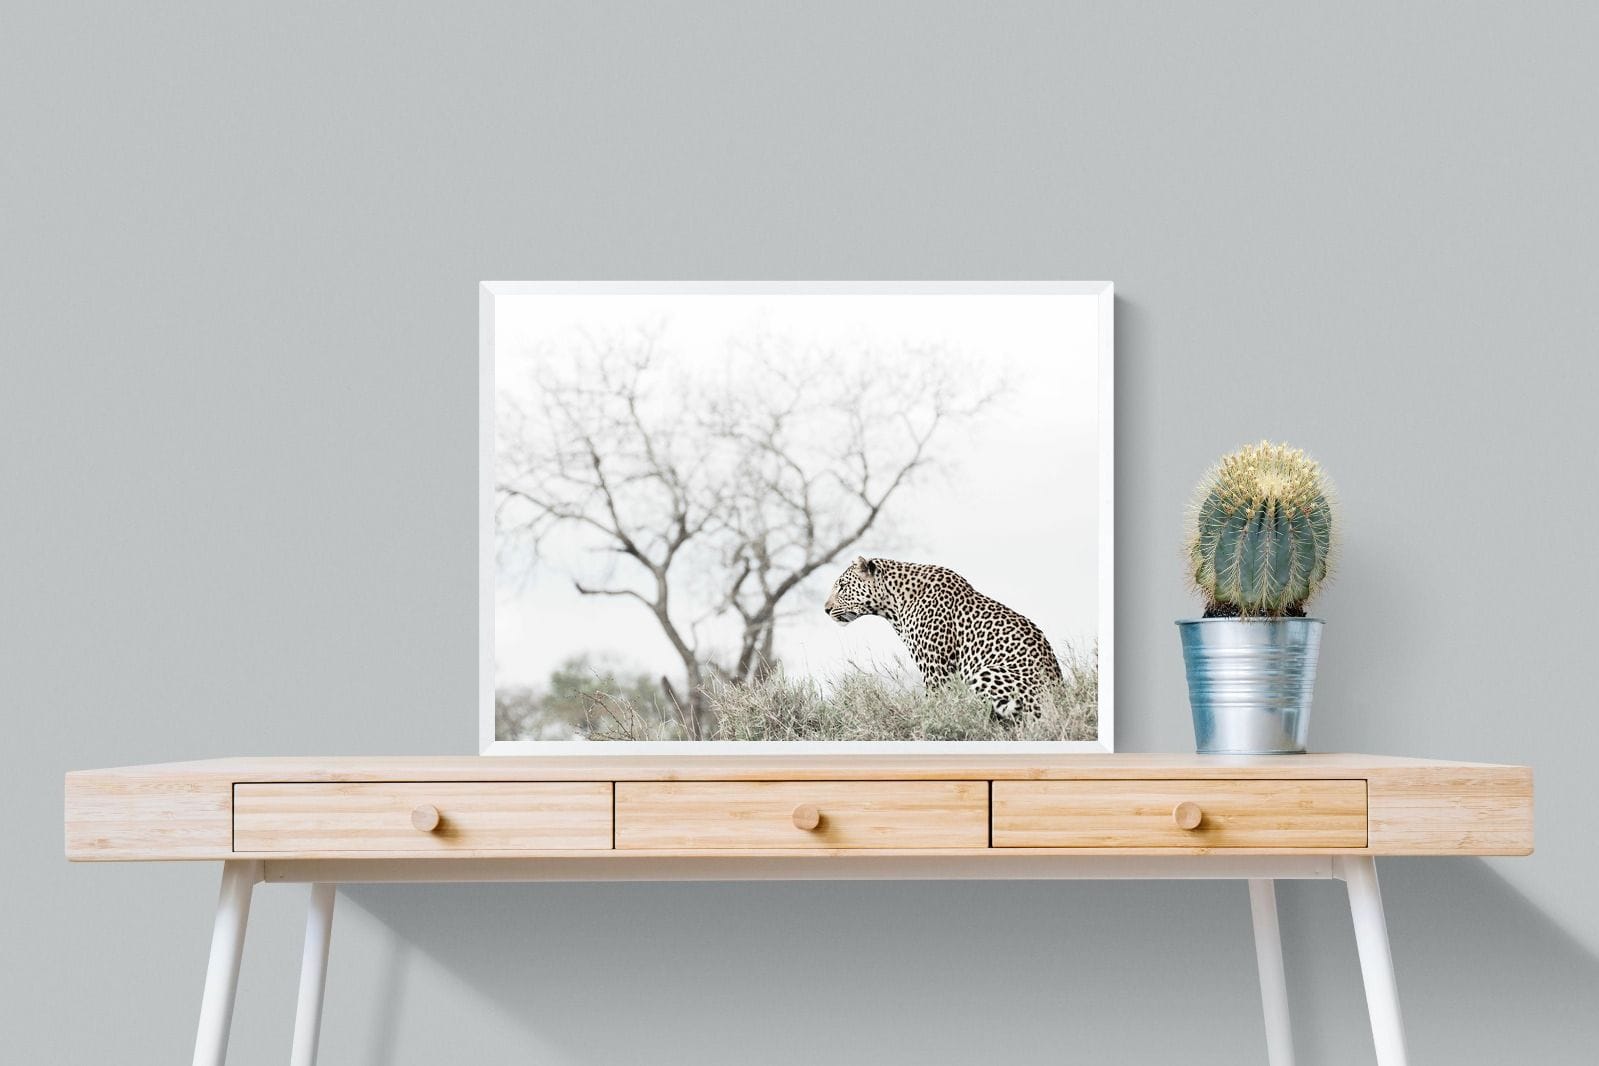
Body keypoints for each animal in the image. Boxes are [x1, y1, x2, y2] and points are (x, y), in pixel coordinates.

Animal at [823, 556, 1064, 719]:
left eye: (842, 586)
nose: (826, 609)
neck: (893, 604)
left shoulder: (936, 669)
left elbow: (935, 704)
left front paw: (929, 721)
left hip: (987, 673)